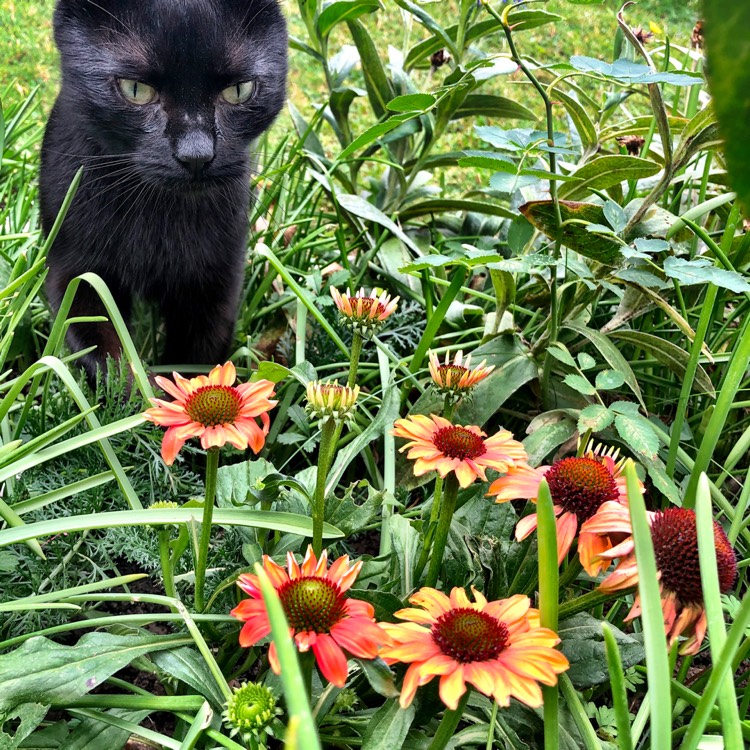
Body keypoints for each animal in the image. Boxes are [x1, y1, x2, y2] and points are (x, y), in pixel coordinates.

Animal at [39, 0, 290, 378]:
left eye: (239, 90)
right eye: (135, 89)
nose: (196, 154)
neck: (157, 220)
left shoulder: (216, 280)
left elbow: (200, 359)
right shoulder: (75, 270)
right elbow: (105, 354)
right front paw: (139, 390)